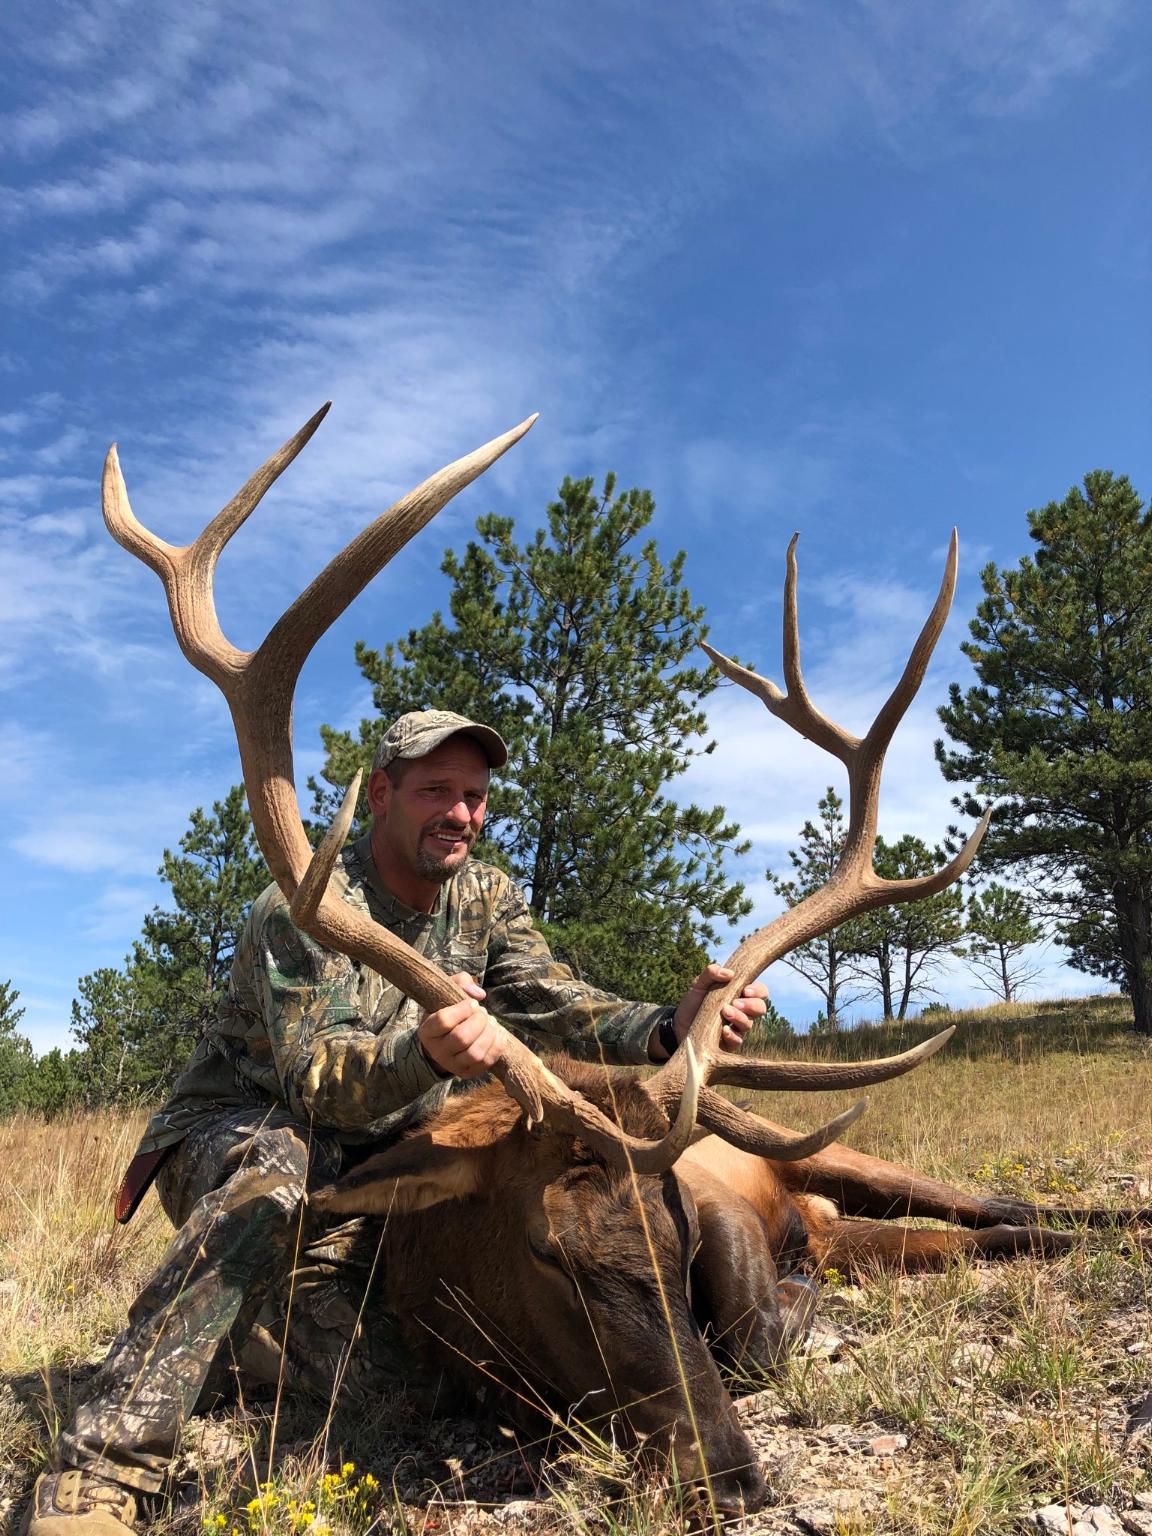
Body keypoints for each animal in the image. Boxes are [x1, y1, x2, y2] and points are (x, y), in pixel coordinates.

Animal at [102, 406, 1145, 1518]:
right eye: (543, 1251)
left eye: (673, 1233)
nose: (728, 1475)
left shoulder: (728, 1206)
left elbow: (756, 1331)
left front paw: (792, 1304)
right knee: (976, 1229)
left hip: (826, 1151)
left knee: (1004, 1207)